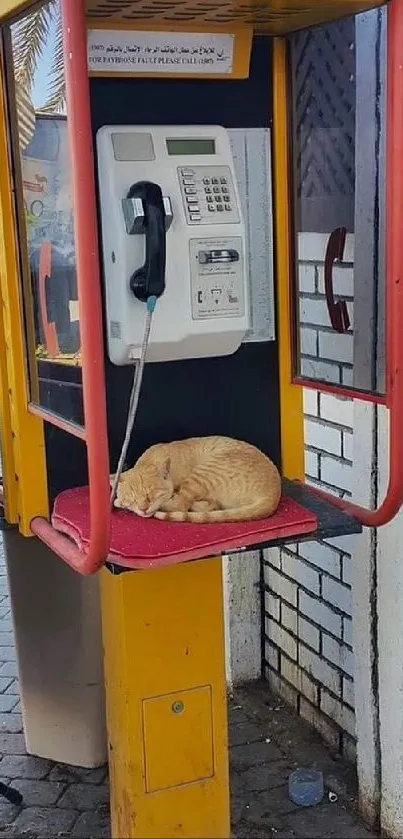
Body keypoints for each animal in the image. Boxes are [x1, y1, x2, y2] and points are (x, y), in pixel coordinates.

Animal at [110, 436, 280, 520]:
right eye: (132, 499)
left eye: (150, 496)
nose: (143, 509)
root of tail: (273, 494)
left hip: (202, 474)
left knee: (180, 505)